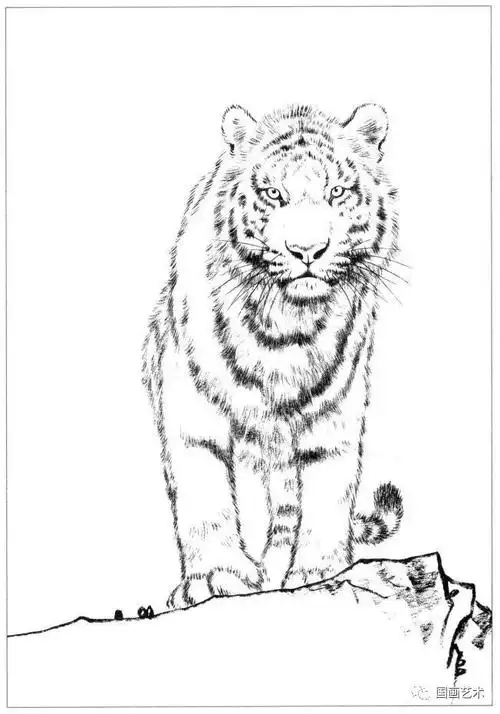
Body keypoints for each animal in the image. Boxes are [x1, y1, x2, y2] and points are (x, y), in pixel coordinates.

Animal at [142, 103, 403, 610]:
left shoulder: (336, 413)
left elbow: (328, 491)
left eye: (336, 192)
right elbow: (204, 495)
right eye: (273, 194)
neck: (288, 326)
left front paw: (320, 573)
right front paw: (215, 578)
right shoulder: (190, 404)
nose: (307, 250)